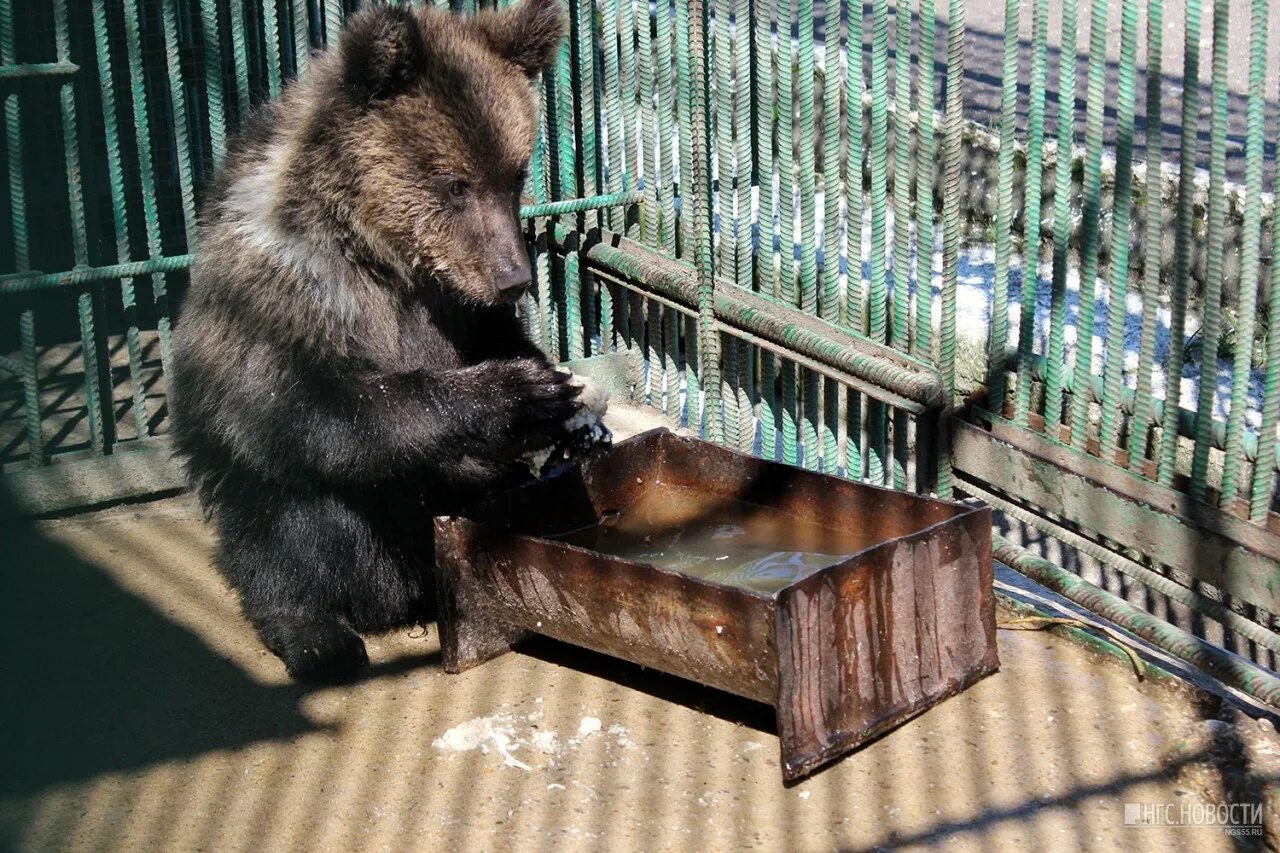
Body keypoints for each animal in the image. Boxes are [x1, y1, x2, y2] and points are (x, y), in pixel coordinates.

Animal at [172, 0, 583, 676]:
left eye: (515, 174)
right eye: (455, 183)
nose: (514, 277)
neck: (381, 250)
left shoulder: (455, 304)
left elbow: (496, 336)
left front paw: (564, 401)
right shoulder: (285, 285)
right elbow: (309, 403)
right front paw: (517, 396)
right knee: (284, 521)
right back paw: (319, 637)